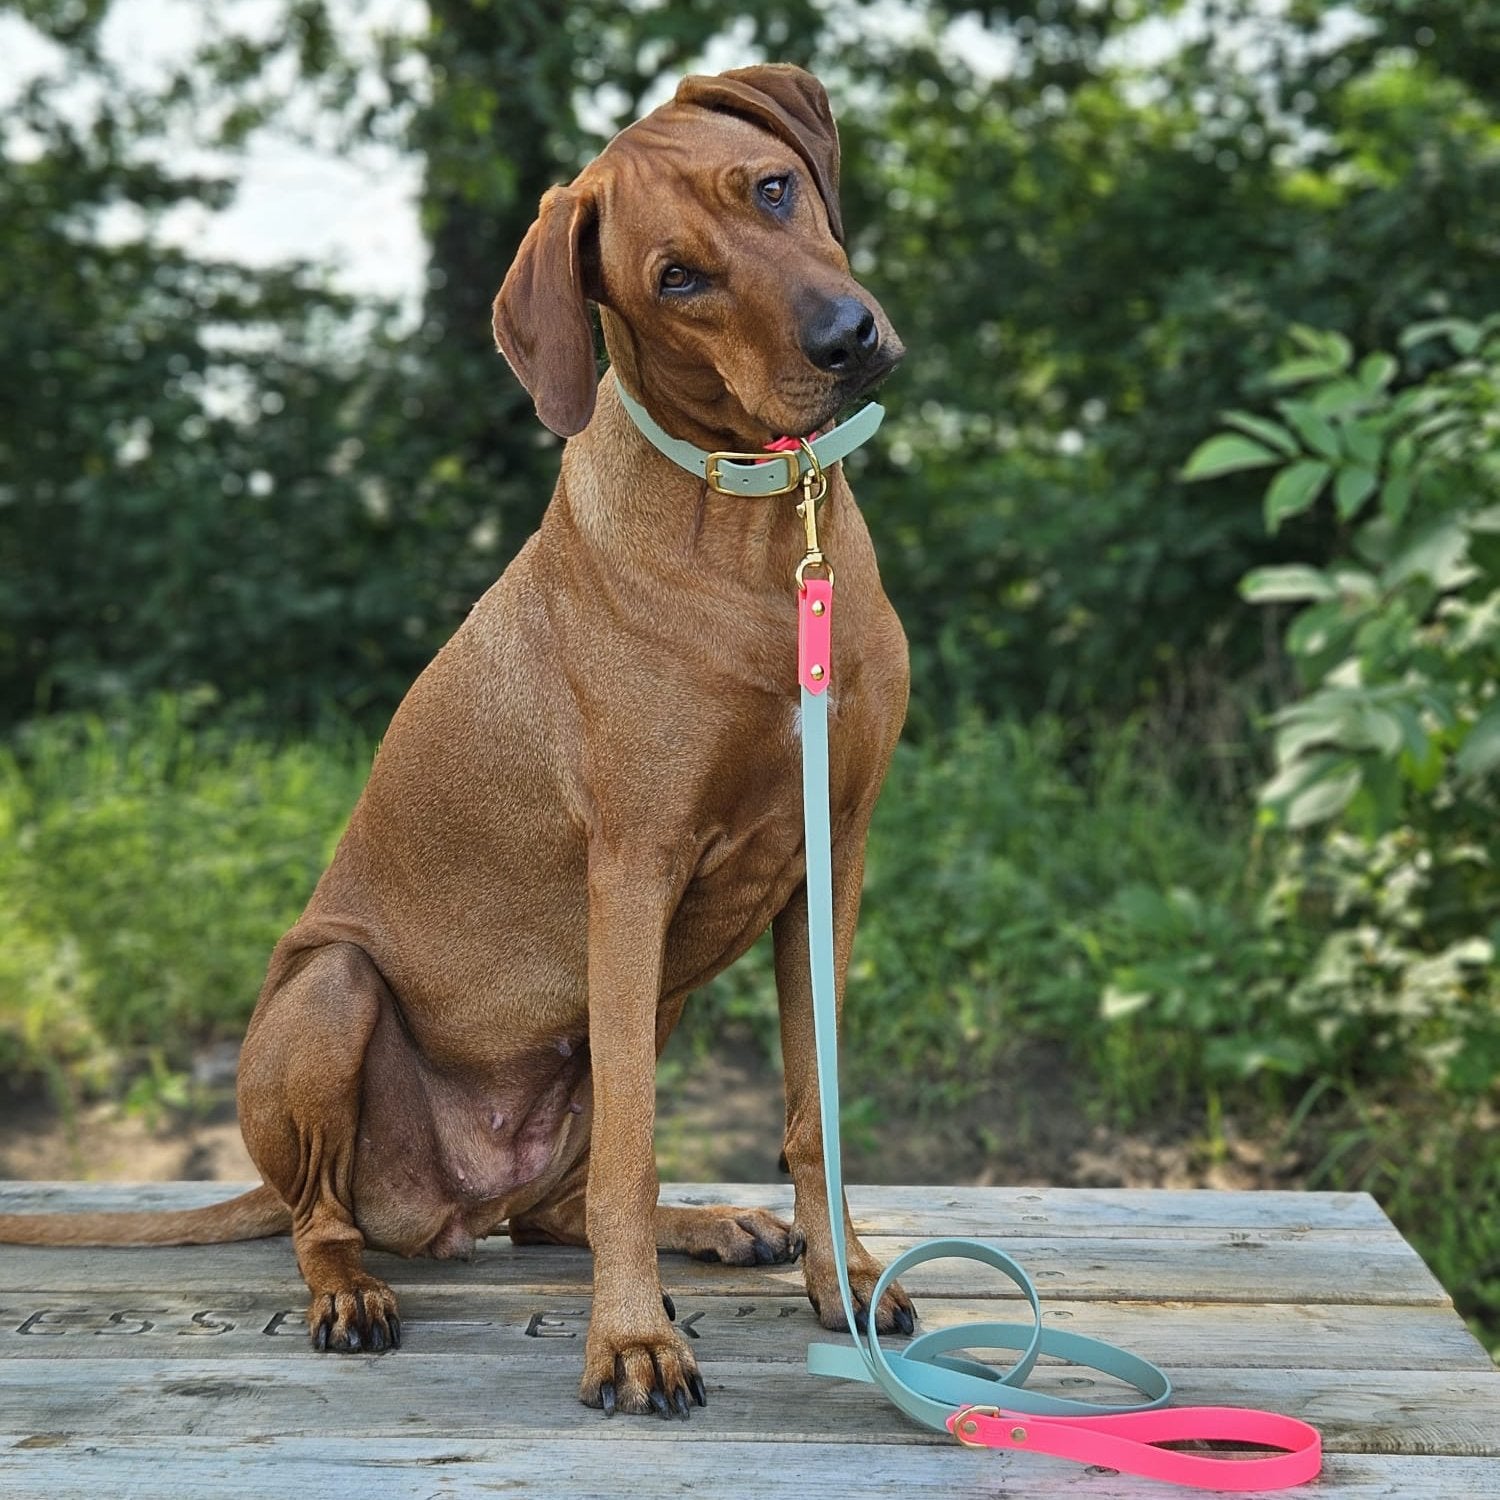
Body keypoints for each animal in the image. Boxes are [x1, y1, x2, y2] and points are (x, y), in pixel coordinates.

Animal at [0, 61, 906, 1416]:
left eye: (773, 188)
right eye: (674, 279)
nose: (845, 340)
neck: (756, 531)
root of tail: (450, 1203)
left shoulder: (828, 856)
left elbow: (815, 1109)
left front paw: (843, 1276)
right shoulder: (632, 874)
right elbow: (635, 1147)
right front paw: (630, 1341)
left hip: (639, 1008)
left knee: (550, 1207)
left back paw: (709, 1223)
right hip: (335, 991)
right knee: (327, 1218)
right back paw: (350, 1290)